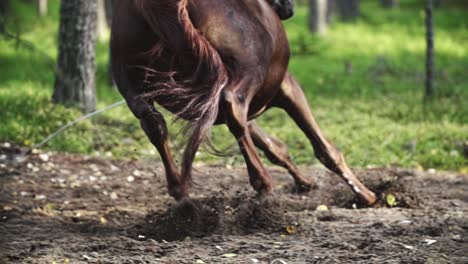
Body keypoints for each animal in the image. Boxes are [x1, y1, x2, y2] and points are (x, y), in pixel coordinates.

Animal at [110, 0, 376, 205]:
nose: (288, 8)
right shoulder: (287, 87)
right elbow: (324, 148)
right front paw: (367, 196)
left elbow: (273, 148)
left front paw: (306, 183)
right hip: (246, 74)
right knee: (232, 104)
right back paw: (262, 182)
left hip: (135, 91)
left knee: (154, 124)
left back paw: (180, 192)